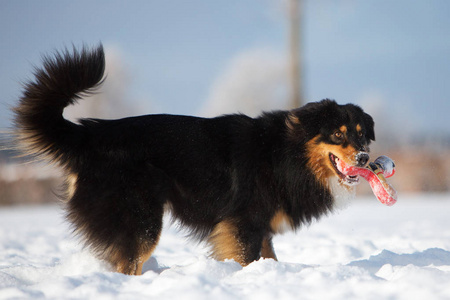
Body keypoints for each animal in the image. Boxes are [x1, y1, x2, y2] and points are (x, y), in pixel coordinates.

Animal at [14, 44, 374, 274]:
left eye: (361, 134)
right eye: (337, 135)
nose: (365, 157)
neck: (285, 154)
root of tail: (89, 134)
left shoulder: (259, 227)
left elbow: (268, 258)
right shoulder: (243, 223)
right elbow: (248, 258)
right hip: (142, 220)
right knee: (128, 263)